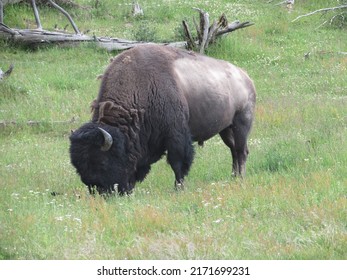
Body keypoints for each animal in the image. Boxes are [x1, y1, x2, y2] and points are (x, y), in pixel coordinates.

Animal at [69, 45, 256, 195]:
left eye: (102, 162)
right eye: (78, 167)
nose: (99, 191)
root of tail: (246, 78)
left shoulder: (176, 135)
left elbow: (178, 163)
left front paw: (178, 188)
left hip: (241, 124)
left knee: (241, 151)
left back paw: (240, 177)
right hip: (225, 129)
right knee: (234, 151)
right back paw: (234, 177)